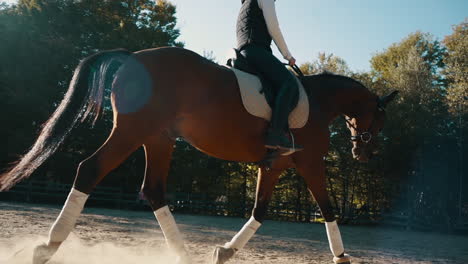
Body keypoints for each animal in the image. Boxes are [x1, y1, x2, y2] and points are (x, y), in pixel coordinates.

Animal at [0, 47, 398, 264]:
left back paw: (183, 254)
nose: (363, 152)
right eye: (380, 119)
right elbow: (328, 209)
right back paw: (46, 247)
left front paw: (225, 252)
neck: (318, 102)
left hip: (158, 139)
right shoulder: (309, 163)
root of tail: (133, 58)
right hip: (132, 133)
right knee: (90, 170)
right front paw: (342, 256)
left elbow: (260, 211)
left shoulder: (275, 165)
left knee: (154, 191)